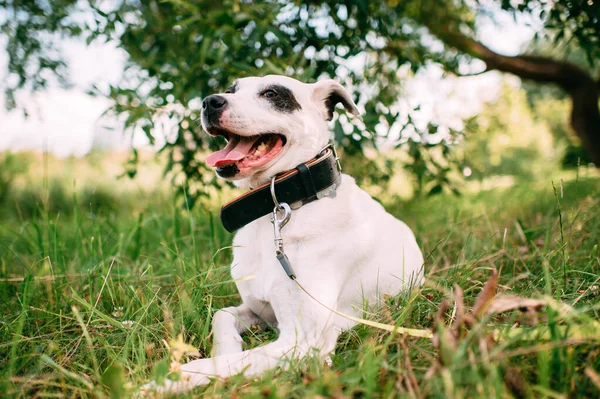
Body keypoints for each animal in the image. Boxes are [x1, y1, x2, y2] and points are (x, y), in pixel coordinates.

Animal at [143, 75, 424, 394]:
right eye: (230, 90)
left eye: (271, 93)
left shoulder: (302, 342)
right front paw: (225, 348)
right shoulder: (257, 310)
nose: (209, 102)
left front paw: (170, 381)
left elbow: (231, 363)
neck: (275, 213)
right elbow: (222, 318)